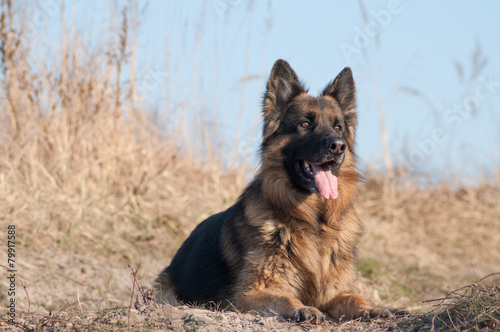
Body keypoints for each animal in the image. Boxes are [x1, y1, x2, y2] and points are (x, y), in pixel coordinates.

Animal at [156, 59, 390, 322]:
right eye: (305, 124)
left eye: (338, 127)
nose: (338, 146)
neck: (314, 221)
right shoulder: (250, 294)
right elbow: (285, 298)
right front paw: (303, 308)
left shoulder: (333, 292)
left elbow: (353, 297)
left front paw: (370, 307)